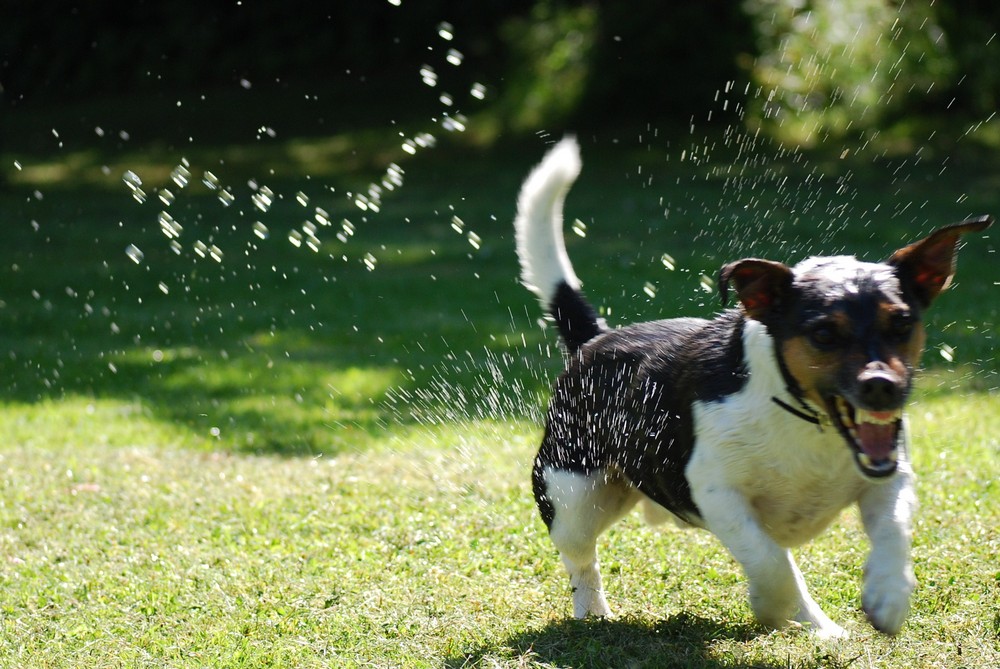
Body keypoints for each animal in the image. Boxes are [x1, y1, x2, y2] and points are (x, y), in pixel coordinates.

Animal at [516, 137, 992, 636]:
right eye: (824, 333)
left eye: (901, 323)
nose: (882, 386)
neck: (804, 421)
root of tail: (595, 338)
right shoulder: (718, 493)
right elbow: (770, 563)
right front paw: (771, 607)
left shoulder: (889, 477)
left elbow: (892, 531)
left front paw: (888, 594)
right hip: (573, 495)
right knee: (581, 558)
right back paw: (593, 612)